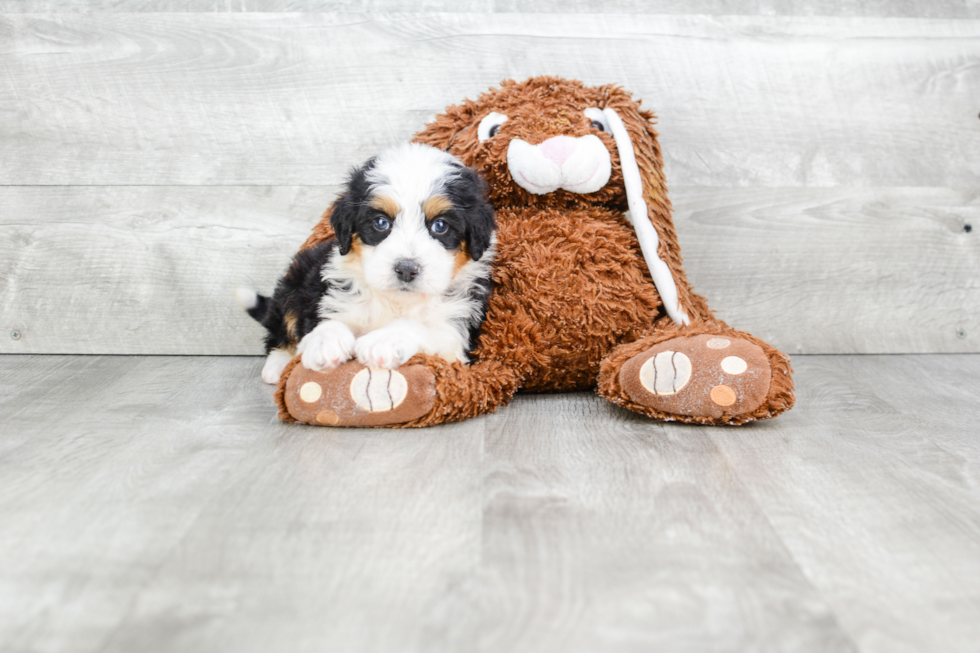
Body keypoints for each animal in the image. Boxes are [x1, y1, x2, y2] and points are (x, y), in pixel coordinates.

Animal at [238, 143, 498, 384]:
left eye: (440, 226)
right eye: (381, 222)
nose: (406, 269)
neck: (396, 301)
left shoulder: (456, 333)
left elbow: (417, 327)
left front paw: (383, 341)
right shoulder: (332, 298)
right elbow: (329, 321)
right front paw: (325, 341)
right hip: (297, 277)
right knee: (281, 326)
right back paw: (278, 365)